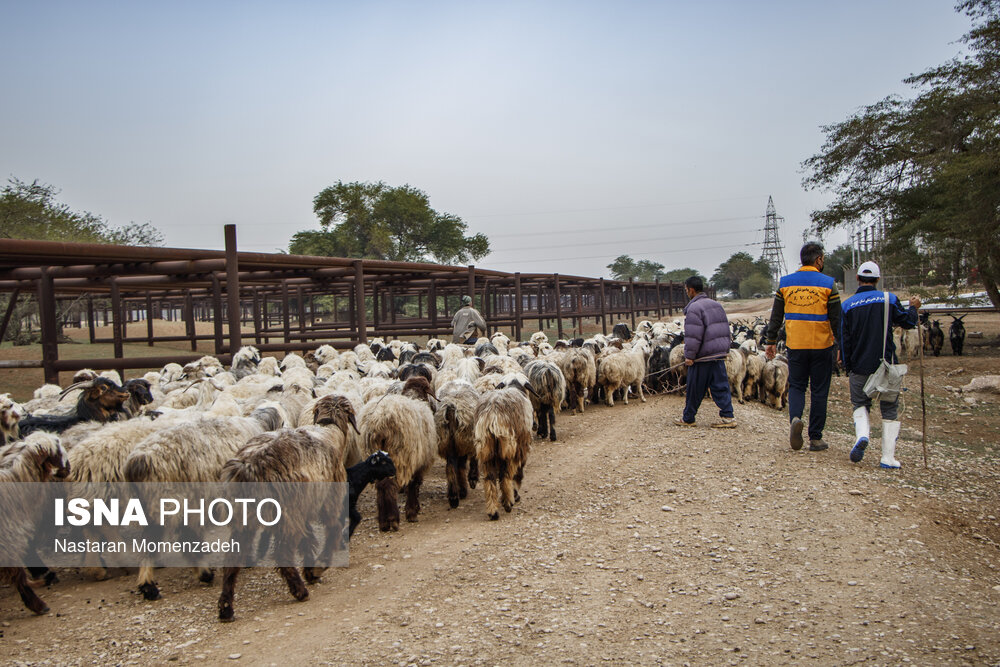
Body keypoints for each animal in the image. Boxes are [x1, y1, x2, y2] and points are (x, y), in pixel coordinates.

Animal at [360, 378, 438, 528]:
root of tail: (380, 420)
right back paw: (392, 519)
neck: (414, 397)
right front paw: (412, 511)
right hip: (400, 453)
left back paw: (383, 522)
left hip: (374, 454)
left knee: (381, 485)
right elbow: (414, 484)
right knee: (388, 484)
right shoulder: (416, 460)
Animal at [474, 376, 536, 520]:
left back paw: (493, 511)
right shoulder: (521, 448)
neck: (514, 384)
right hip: (508, 447)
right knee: (505, 475)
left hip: (485, 450)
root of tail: (492, 415)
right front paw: (516, 494)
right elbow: (519, 473)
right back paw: (508, 503)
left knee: (489, 478)